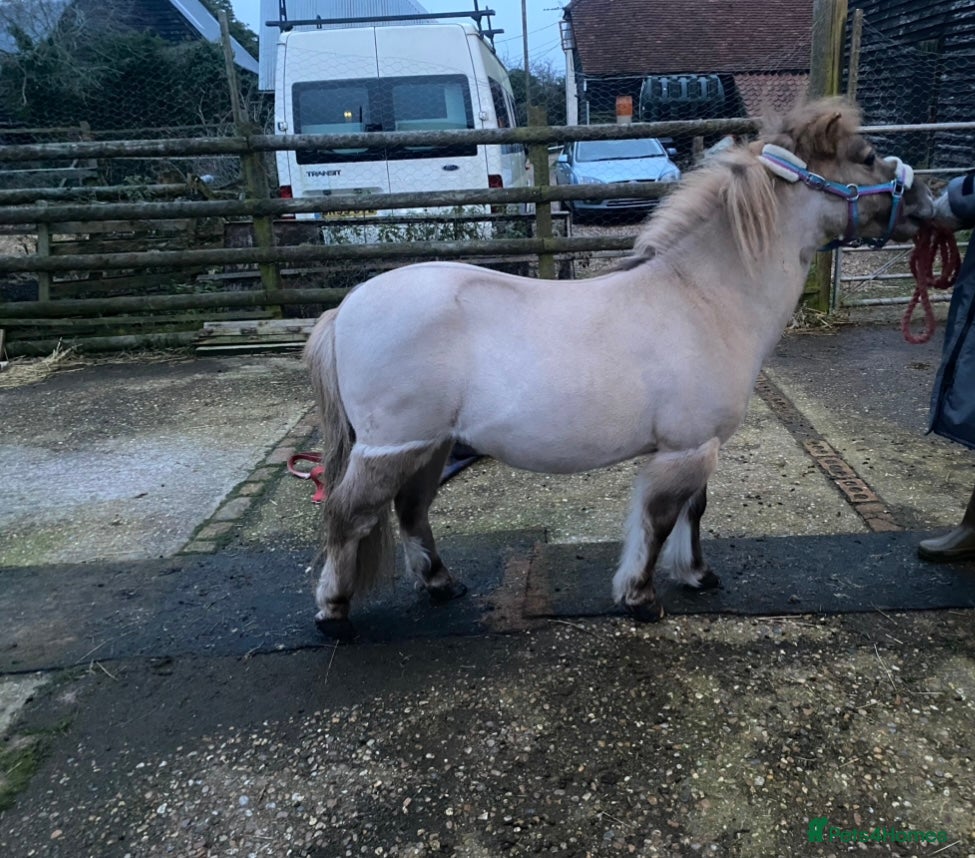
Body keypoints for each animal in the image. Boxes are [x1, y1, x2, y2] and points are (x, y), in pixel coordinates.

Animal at [303, 97, 934, 639]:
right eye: (867, 156)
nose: (927, 203)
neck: (703, 297)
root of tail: (345, 307)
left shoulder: (694, 445)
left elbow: (694, 511)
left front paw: (697, 575)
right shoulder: (684, 450)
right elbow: (659, 522)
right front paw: (641, 597)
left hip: (430, 445)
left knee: (410, 511)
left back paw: (440, 584)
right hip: (392, 448)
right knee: (349, 516)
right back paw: (334, 614)